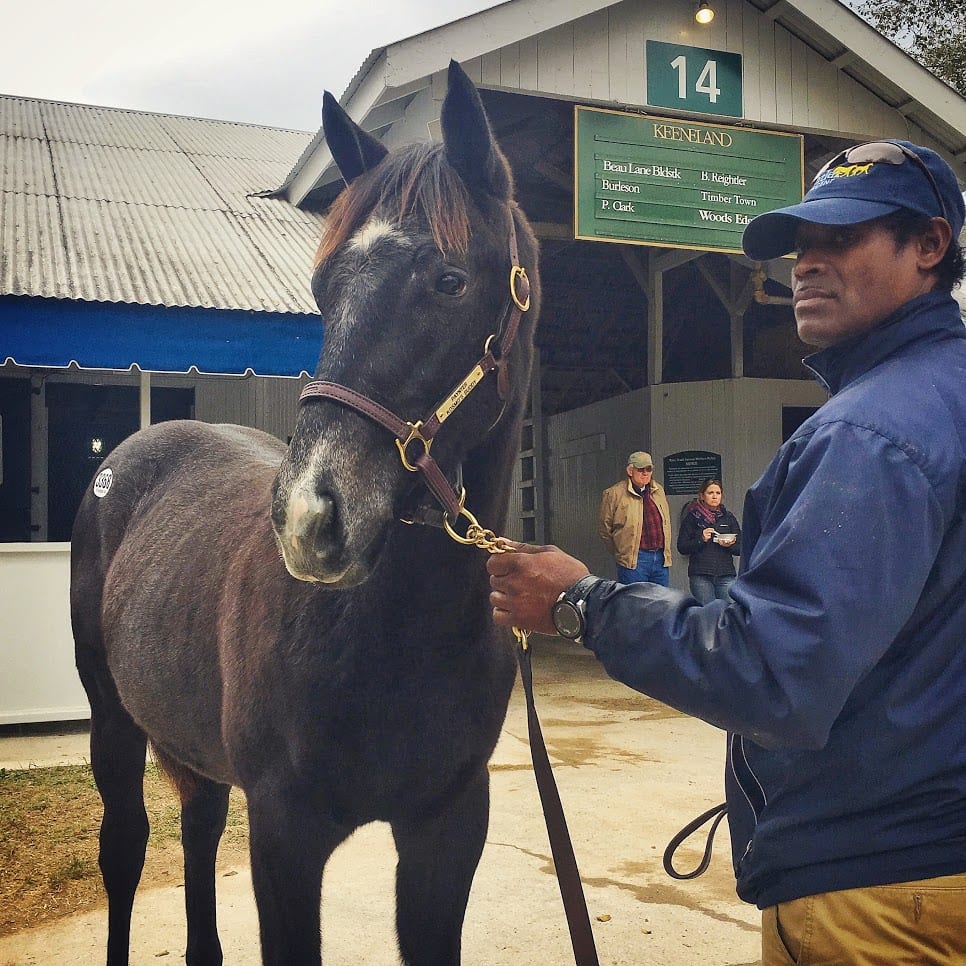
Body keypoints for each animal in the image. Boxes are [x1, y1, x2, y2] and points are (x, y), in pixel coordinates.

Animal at [73, 62, 544, 966]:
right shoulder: (285, 836)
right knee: (124, 851)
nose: (307, 520)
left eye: (450, 281)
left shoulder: (448, 829)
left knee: (196, 831)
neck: (395, 634)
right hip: (112, 723)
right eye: (325, 290)